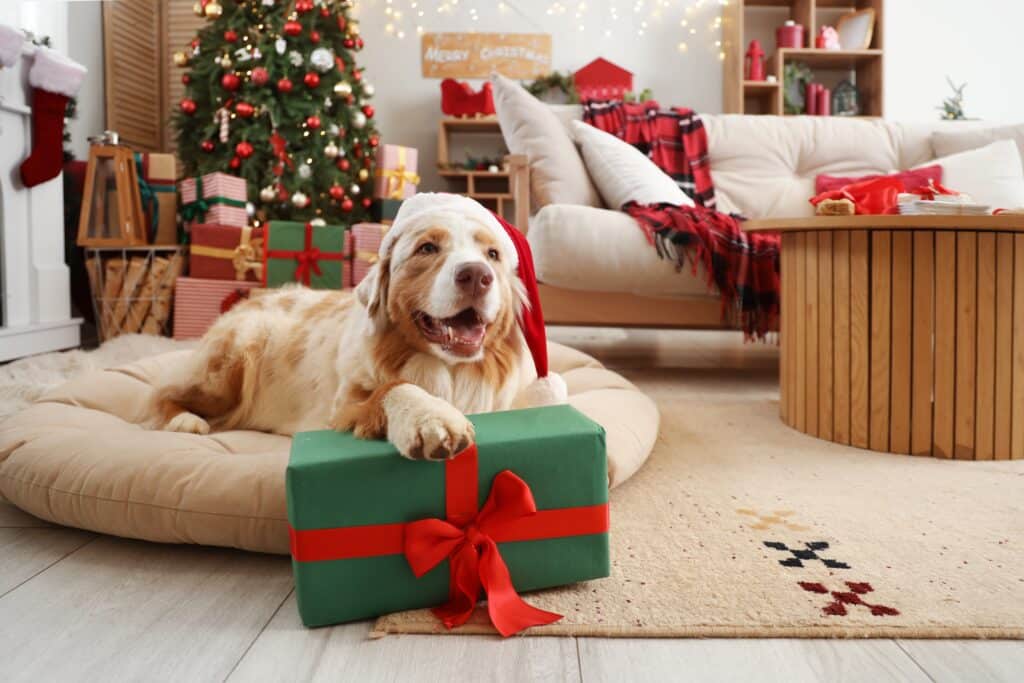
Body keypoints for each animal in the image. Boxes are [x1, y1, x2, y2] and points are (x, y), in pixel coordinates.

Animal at [150, 192, 565, 458]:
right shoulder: (343, 408)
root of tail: (248, 301)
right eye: (427, 248)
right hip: (233, 359)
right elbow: (394, 387)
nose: (477, 276)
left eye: (492, 254)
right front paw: (430, 417)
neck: (451, 372)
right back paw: (185, 421)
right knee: (162, 394)